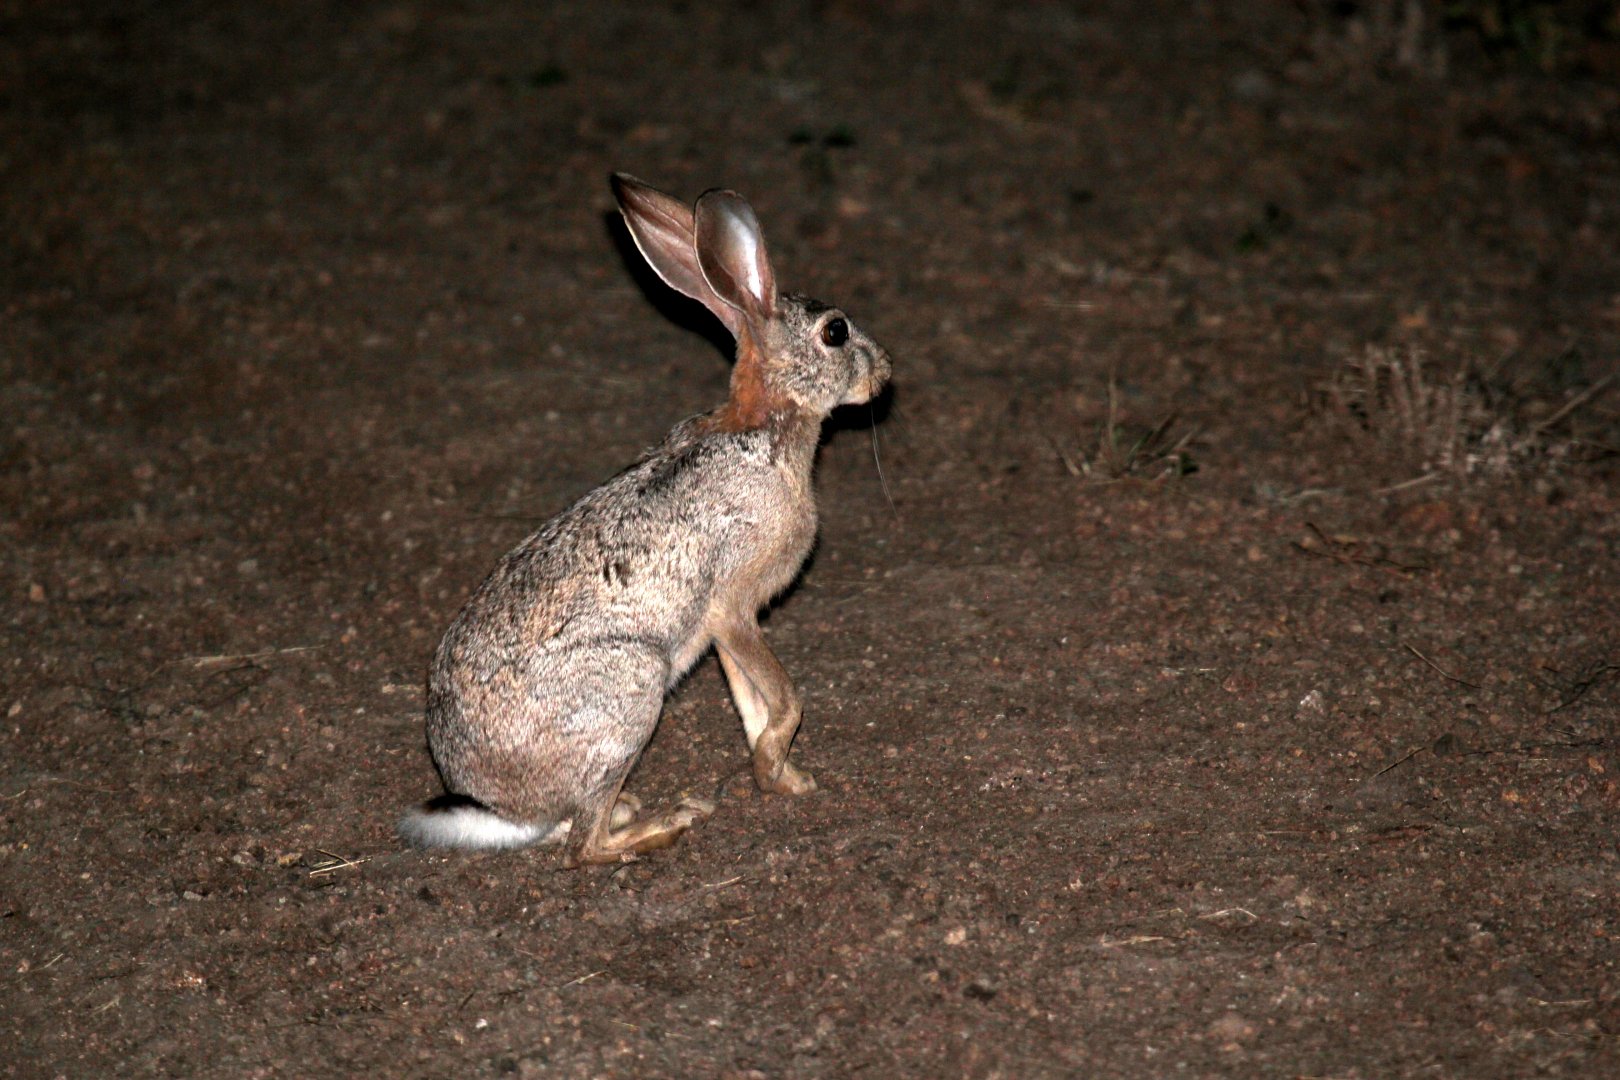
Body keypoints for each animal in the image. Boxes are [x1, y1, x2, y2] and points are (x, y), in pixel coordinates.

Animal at [398, 173, 891, 866]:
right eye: (836, 332)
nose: (885, 370)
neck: (766, 422)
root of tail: (495, 809)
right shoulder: (733, 607)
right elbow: (786, 700)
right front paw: (781, 774)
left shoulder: (723, 629)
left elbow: (751, 706)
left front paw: (781, 776)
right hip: (631, 690)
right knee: (584, 845)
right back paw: (666, 823)